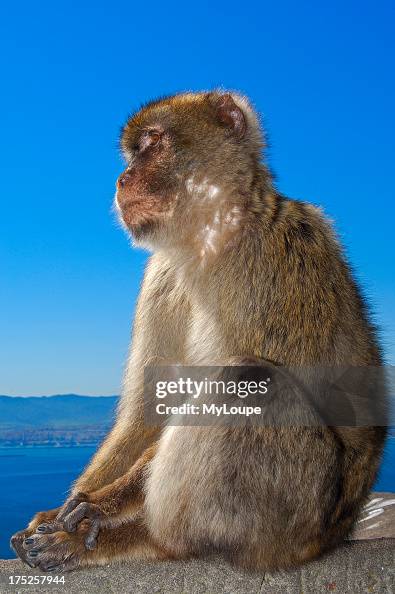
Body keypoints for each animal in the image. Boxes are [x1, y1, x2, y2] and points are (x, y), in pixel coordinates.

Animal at [10, 90, 388, 572]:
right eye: (133, 152)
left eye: (153, 142)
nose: (122, 178)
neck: (206, 239)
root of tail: (336, 533)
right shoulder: (160, 272)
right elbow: (148, 409)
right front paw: (61, 511)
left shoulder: (271, 258)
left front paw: (102, 506)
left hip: (297, 516)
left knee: (248, 380)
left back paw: (149, 541)